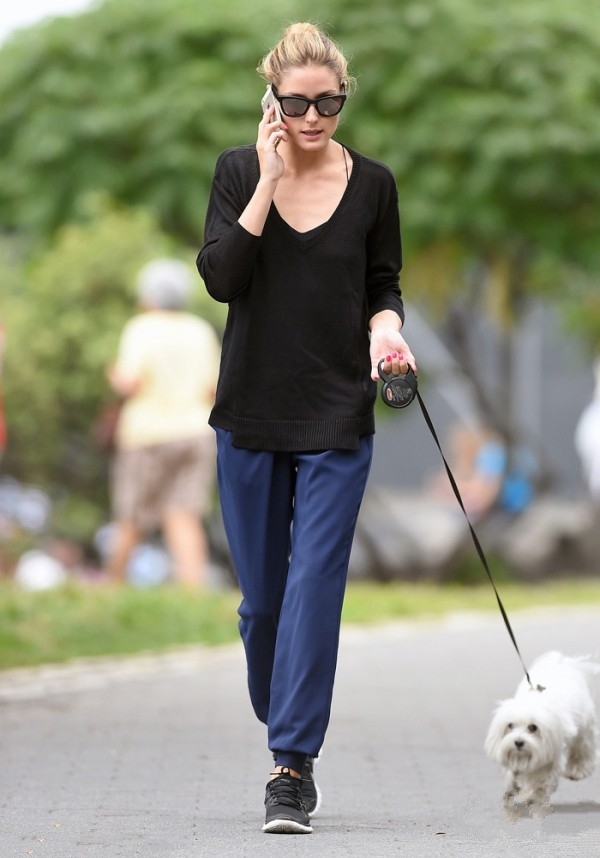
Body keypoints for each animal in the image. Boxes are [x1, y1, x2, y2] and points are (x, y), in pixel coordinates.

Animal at [484, 651, 600, 820]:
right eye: (510, 726)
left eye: (533, 728)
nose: (518, 742)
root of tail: (562, 662)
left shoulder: (550, 756)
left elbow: (539, 779)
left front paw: (530, 795)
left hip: (584, 727)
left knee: (583, 748)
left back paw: (578, 770)